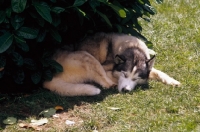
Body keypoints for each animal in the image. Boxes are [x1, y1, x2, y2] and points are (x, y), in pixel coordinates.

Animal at [43, 32, 180, 96]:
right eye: (124, 74)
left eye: (136, 78)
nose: (125, 90)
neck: (133, 48)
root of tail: (47, 77)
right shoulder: (107, 68)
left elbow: (158, 72)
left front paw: (172, 81)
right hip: (86, 57)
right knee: (106, 84)